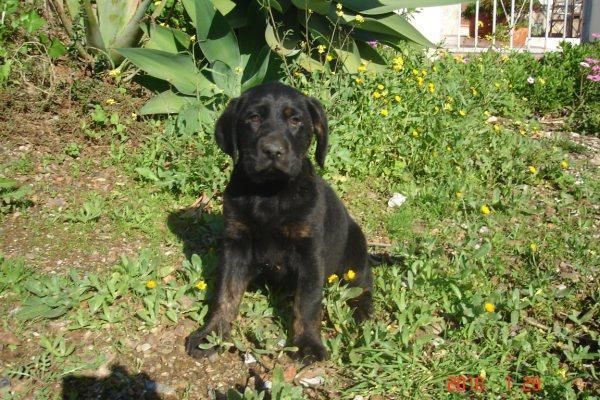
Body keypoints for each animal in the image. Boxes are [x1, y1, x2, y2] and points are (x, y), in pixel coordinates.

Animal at [185, 81, 372, 362]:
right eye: (253, 118)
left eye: (295, 120)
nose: (273, 151)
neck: (270, 193)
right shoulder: (236, 243)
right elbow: (226, 293)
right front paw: (211, 334)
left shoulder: (309, 251)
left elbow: (307, 301)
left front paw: (307, 343)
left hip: (355, 258)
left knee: (364, 285)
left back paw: (364, 313)